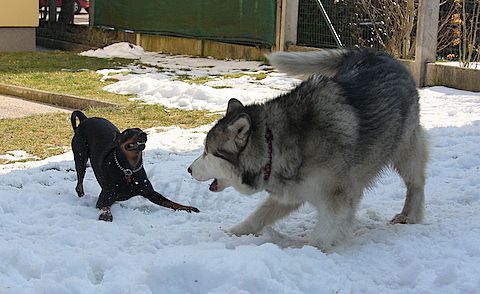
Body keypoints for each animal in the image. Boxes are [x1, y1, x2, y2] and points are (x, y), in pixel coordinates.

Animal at [71, 110, 199, 220]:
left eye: (139, 129)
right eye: (127, 132)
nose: (144, 134)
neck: (129, 169)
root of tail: (85, 119)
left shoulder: (150, 193)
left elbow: (170, 202)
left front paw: (189, 208)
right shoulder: (104, 198)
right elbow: (105, 207)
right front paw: (106, 215)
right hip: (80, 156)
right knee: (80, 179)